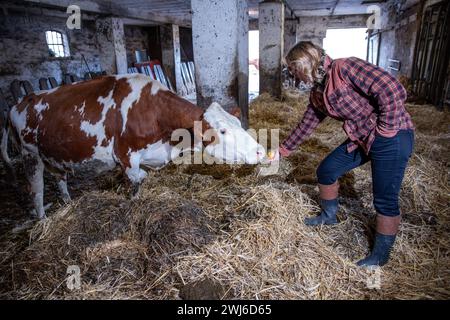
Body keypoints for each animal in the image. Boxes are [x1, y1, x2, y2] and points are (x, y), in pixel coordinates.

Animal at [1, 74, 266, 220]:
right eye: (222, 131)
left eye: (238, 124)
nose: (260, 151)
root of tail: (20, 102)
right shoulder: (126, 157)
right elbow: (138, 180)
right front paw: (132, 204)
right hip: (29, 154)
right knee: (36, 190)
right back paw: (42, 220)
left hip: (54, 156)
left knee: (60, 179)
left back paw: (67, 204)